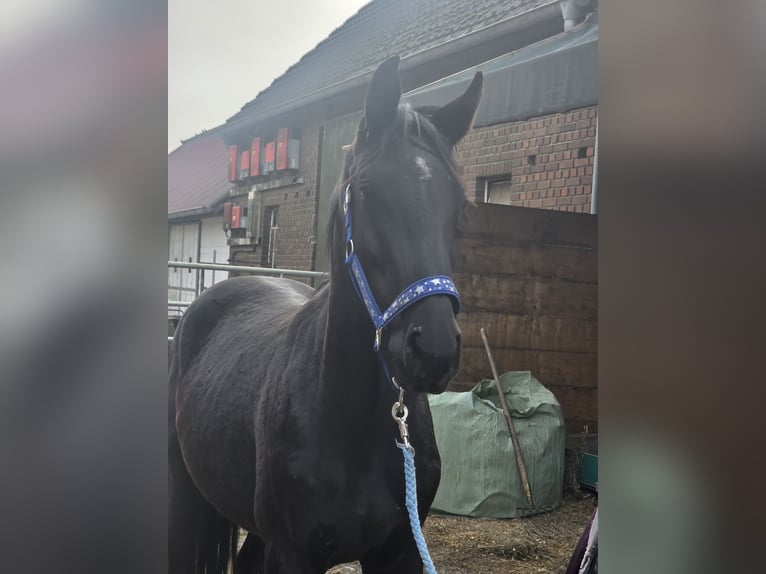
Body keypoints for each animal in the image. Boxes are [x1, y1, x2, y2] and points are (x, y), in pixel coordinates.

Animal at [169, 56, 483, 573]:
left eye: (459, 204)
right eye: (368, 192)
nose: (433, 350)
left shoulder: (399, 555)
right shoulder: (294, 554)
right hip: (186, 494)